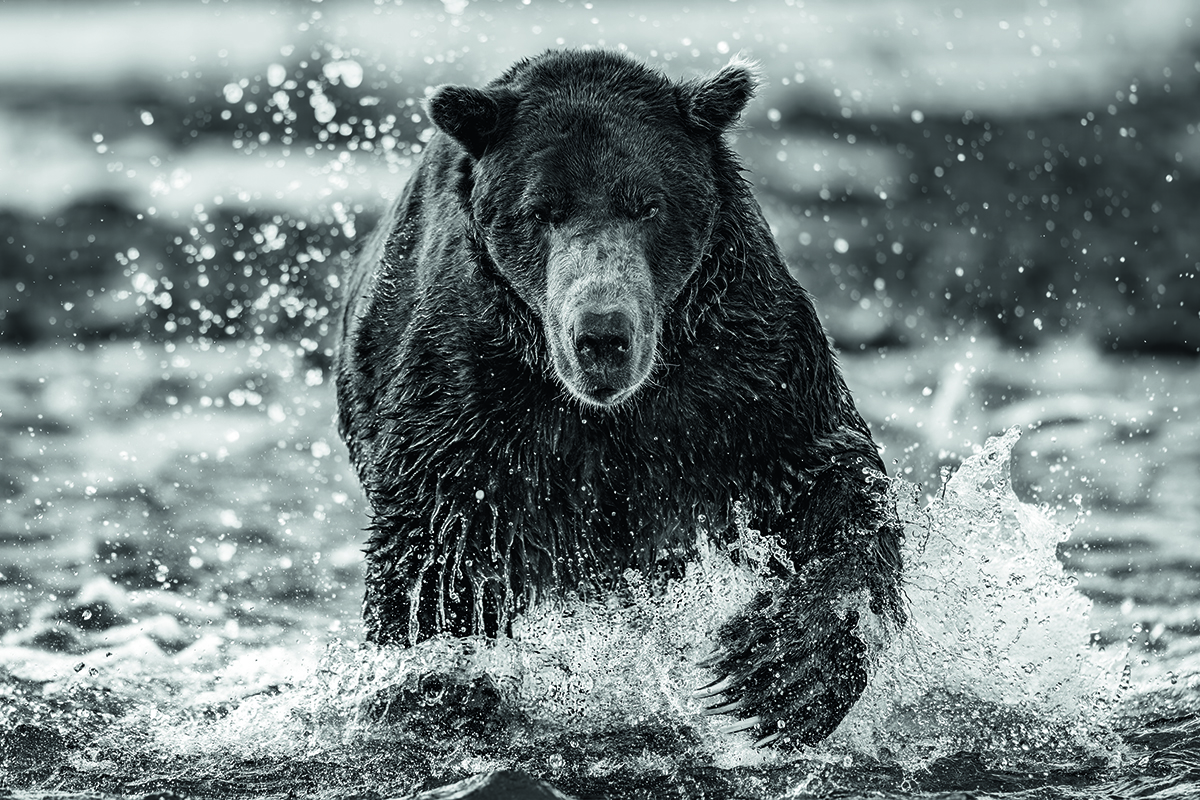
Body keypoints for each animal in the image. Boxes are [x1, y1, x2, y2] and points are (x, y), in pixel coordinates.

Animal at [334, 49, 905, 748]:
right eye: (542, 210)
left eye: (646, 205)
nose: (602, 334)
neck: (608, 412)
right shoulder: (472, 397)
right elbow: (438, 551)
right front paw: (441, 687)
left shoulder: (742, 375)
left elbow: (829, 477)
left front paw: (778, 671)